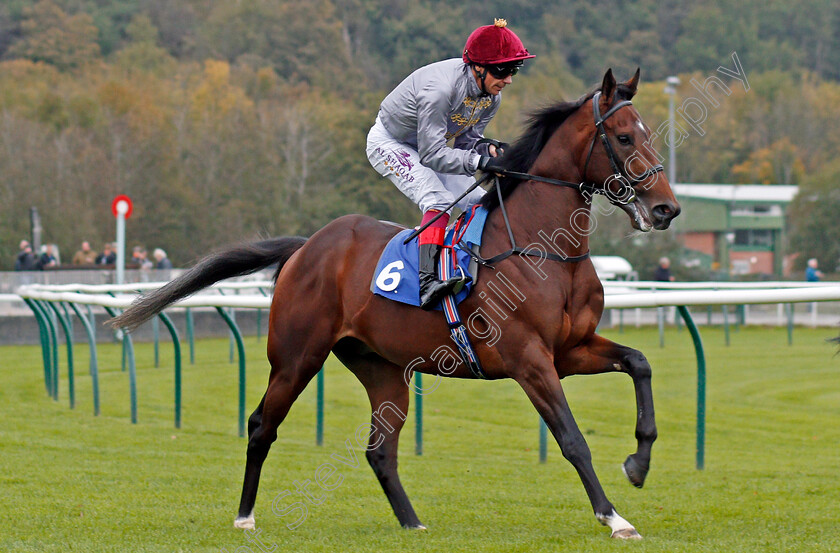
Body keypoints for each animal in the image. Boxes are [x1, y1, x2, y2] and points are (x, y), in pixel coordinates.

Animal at [108, 69, 680, 540]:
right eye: (623, 136)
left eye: (649, 134)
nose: (666, 208)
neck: (545, 248)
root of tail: (306, 247)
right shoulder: (529, 358)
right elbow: (572, 438)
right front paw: (615, 517)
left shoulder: (571, 348)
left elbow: (641, 363)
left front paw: (639, 463)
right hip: (296, 358)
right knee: (261, 425)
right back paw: (245, 517)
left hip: (382, 368)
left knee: (379, 450)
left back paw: (412, 522)